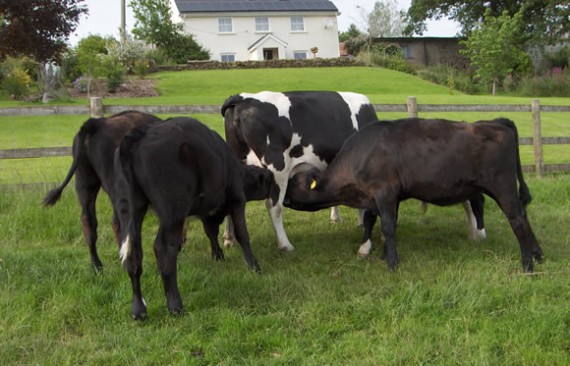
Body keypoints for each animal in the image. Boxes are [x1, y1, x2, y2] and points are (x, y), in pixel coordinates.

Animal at [118, 117, 276, 320]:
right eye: (268, 180)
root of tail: (141, 133)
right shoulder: (237, 199)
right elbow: (242, 234)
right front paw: (254, 267)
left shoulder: (206, 212)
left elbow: (211, 232)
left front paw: (218, 256)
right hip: (173, 212)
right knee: (163, 249)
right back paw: (175, 306)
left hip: (131, 207)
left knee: (133, 253)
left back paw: (139, 309)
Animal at [284, 118, 540, 274]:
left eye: (293, 182)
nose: (282, 198)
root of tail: (496, 123)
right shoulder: (385, 197)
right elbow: (380, 223)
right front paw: (382, 255)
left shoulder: (384, 191)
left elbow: (387, 226)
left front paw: (392, 264)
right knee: (523, 214)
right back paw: (539, 255)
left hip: (502, 186)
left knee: (517, 219)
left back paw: (527, 264)